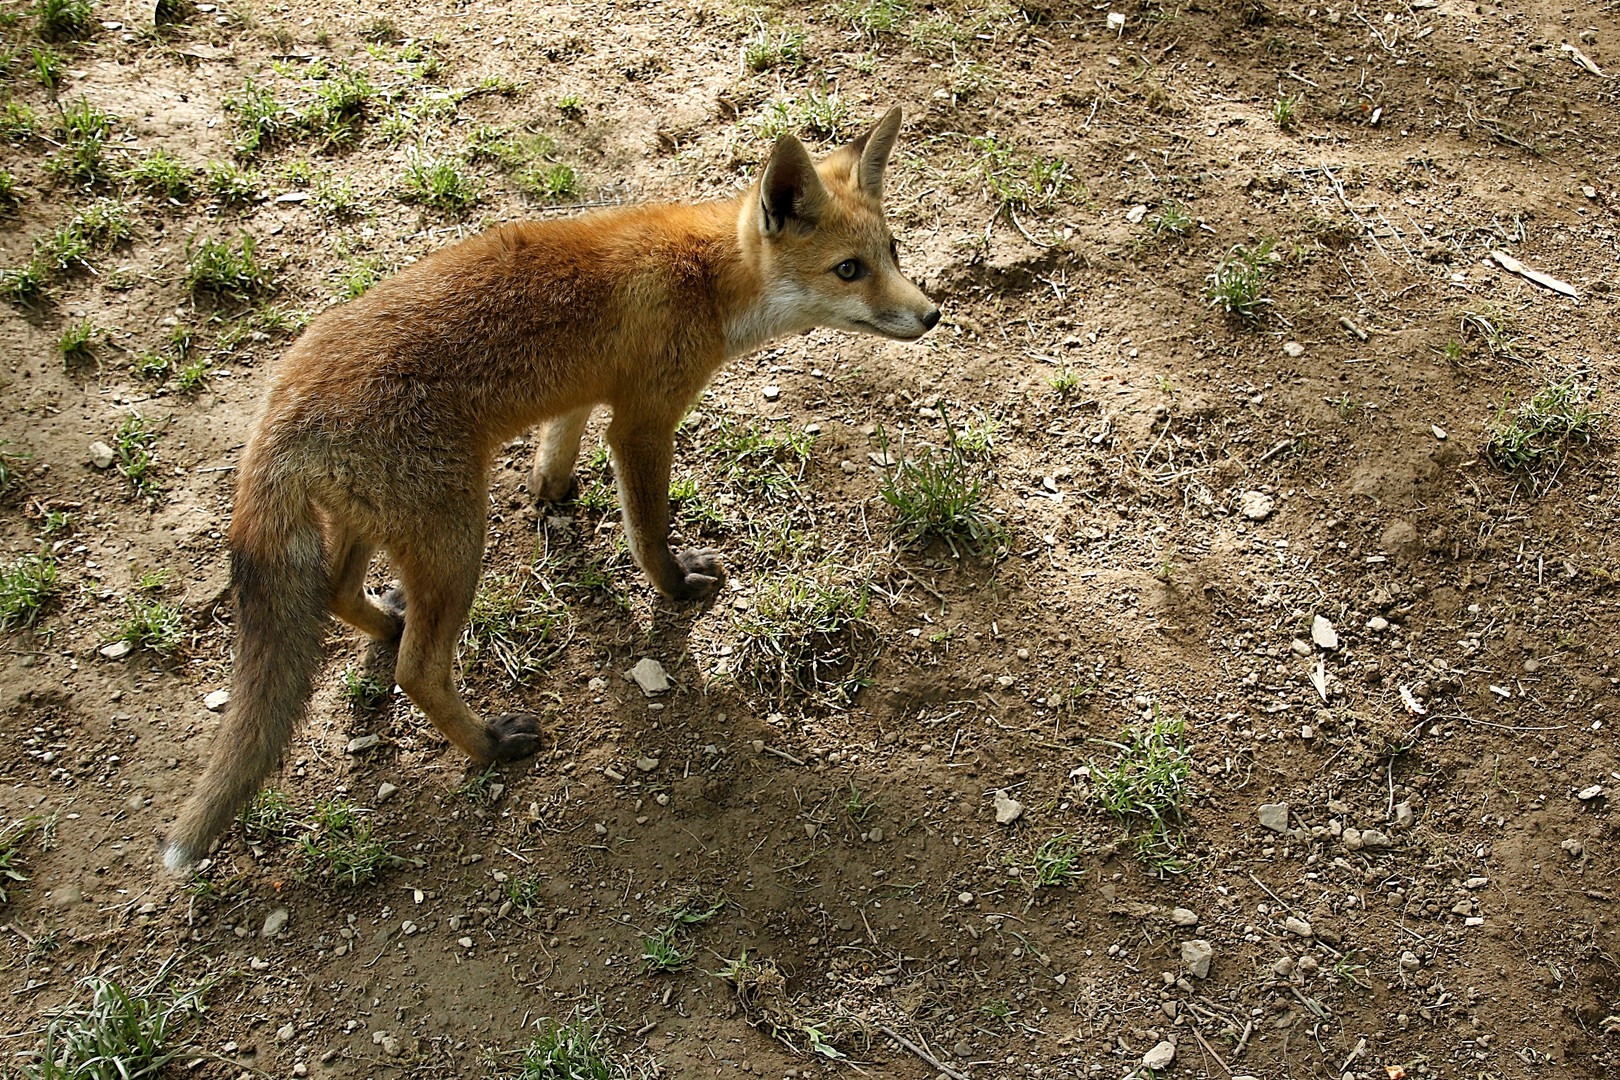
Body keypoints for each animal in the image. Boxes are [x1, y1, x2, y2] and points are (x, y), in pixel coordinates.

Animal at [157, 107, 946, 867]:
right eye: (849, 269)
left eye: (894, 253)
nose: (933, 314)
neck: (707, 278)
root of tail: (282, 402)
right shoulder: (643, 423)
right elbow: (648, 528)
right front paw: (673, 584)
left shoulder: (588, 389)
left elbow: (557, 446)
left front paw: (552, 495)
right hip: (456, 540)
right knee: (417, 672)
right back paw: (488, 745)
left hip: (377, 528)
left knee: (339, 595)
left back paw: (387, 622)